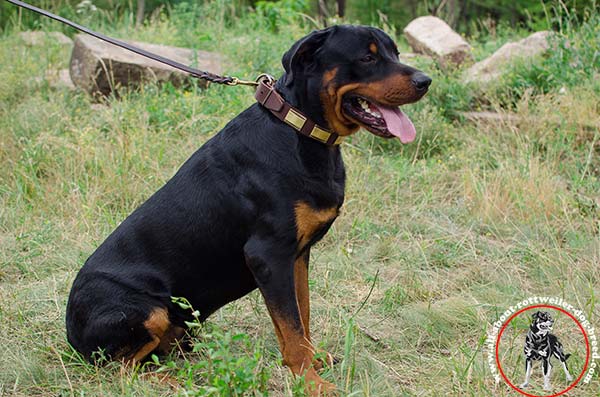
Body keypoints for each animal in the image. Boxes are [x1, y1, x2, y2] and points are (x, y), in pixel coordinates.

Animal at [65, 26, 432, 394]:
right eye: (367, 57)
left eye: (396, 53)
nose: (425, 81)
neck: (300, 131)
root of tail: (71, 334)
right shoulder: (268, 254)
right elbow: (292, 327)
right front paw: (311, 382)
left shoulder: (297, 256)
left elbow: (301, 315)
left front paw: (312, 361)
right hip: (146, 310)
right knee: (120, 369)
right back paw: (173, 382)